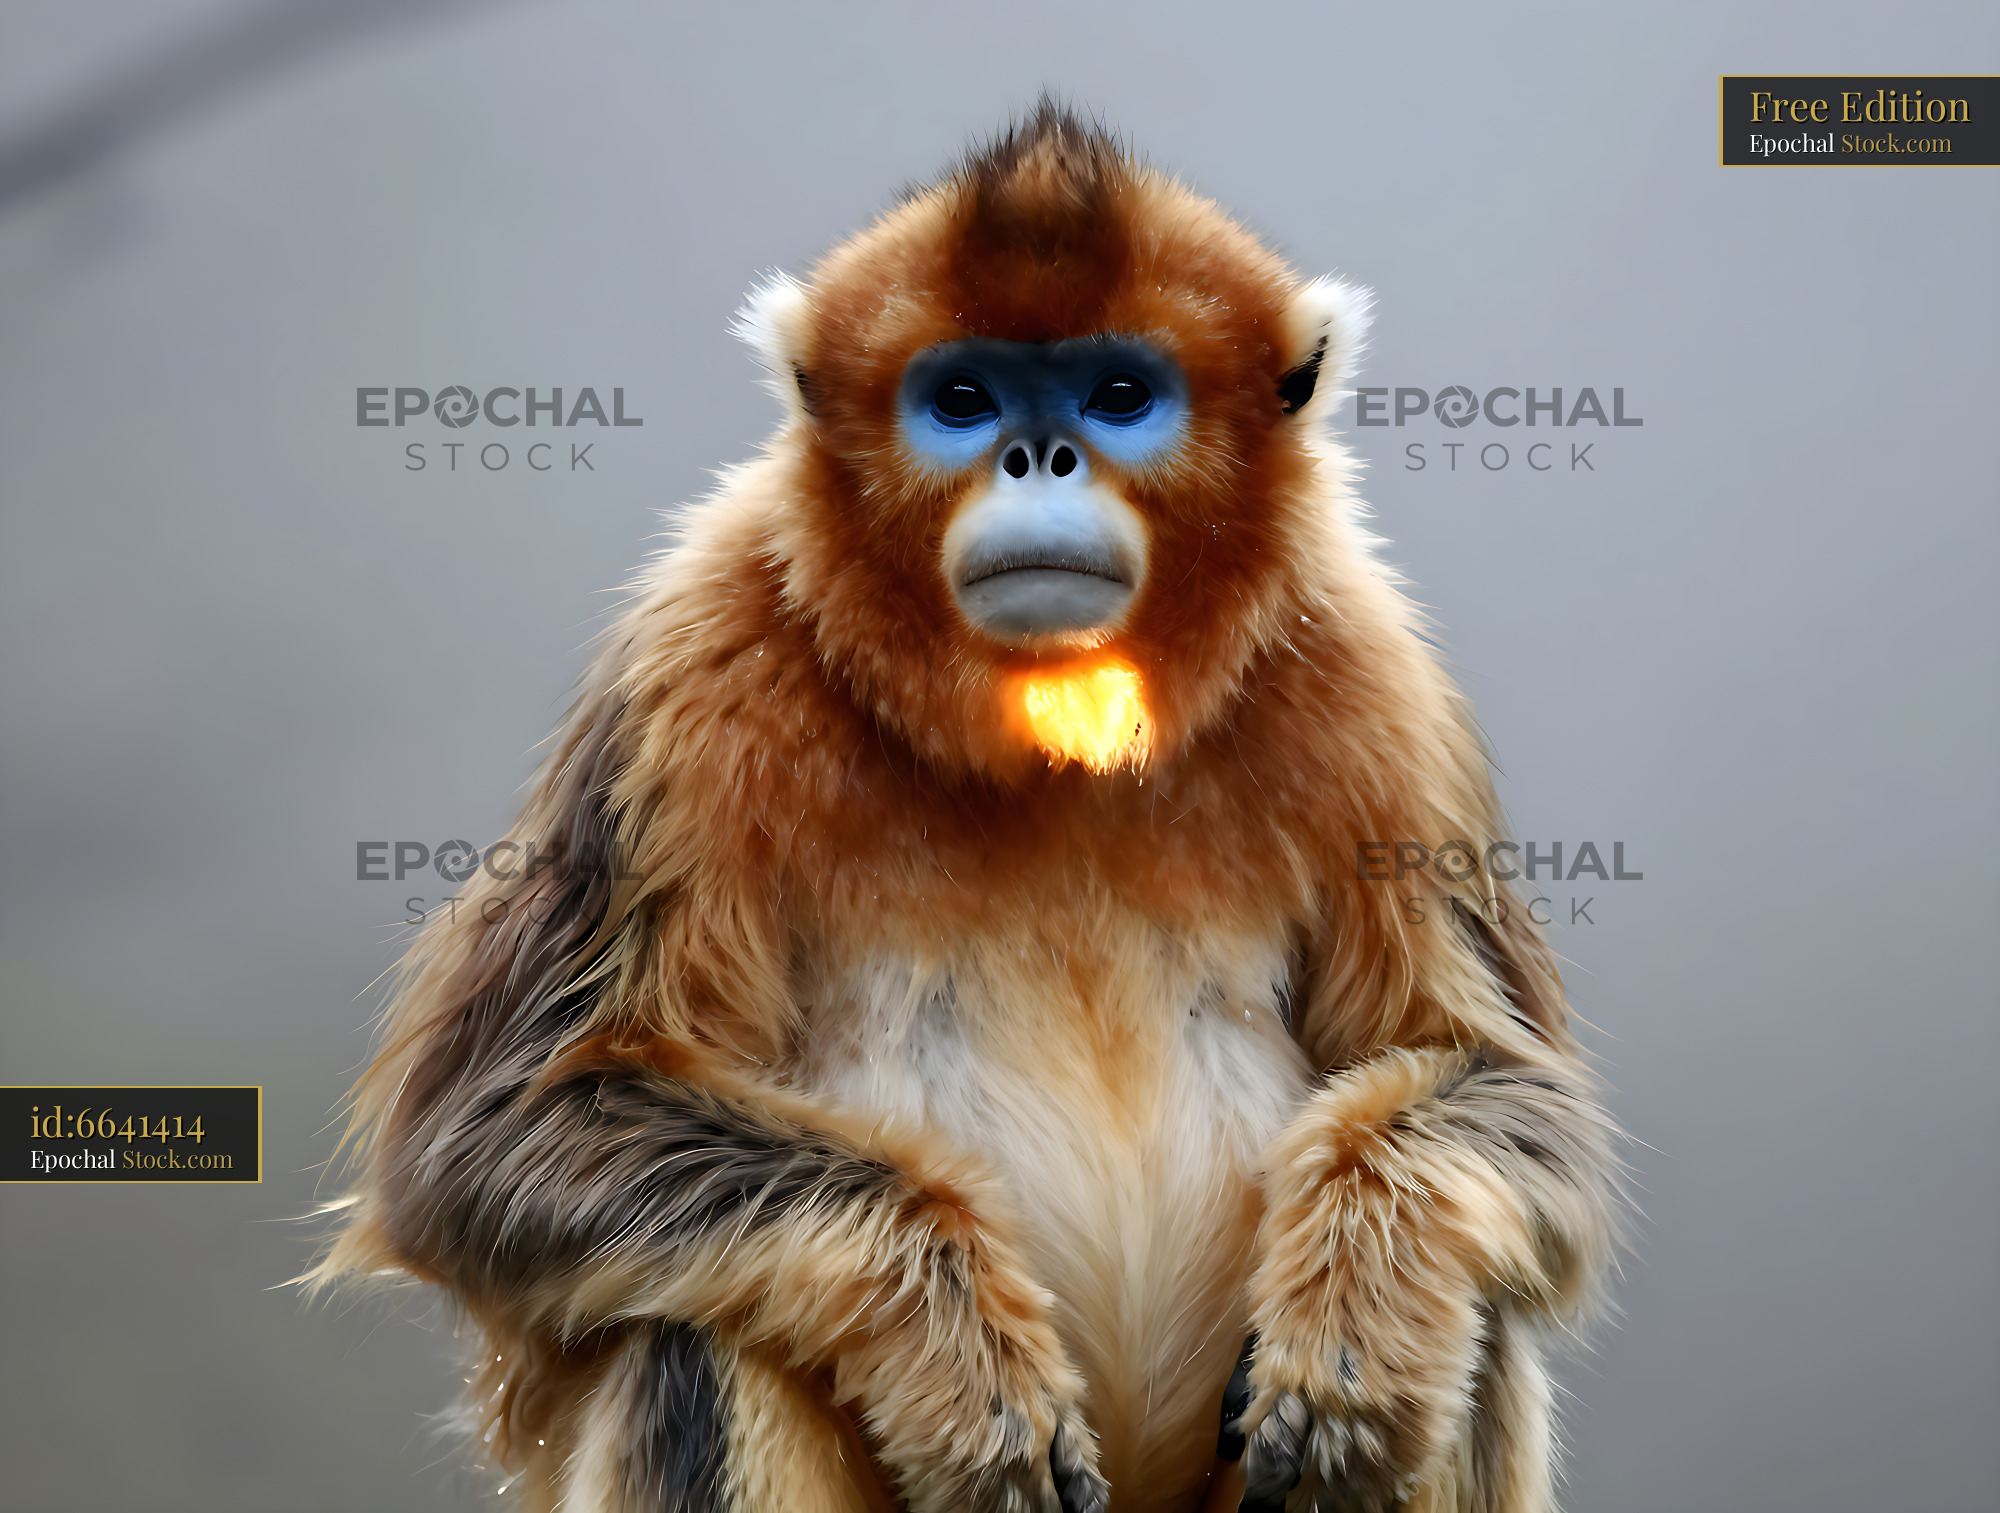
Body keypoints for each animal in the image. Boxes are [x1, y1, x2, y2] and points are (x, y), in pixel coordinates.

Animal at [316, 103, 1620, 1513]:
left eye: (1117, 396)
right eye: (960, 399)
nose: (1035, 456)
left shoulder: (1376, 687)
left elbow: (1507, 1095)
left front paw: (1353, 1338)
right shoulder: (692, 655)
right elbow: (497, 1134)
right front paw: (968, 1370)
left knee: (1469, 1310)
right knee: (695, 1325)